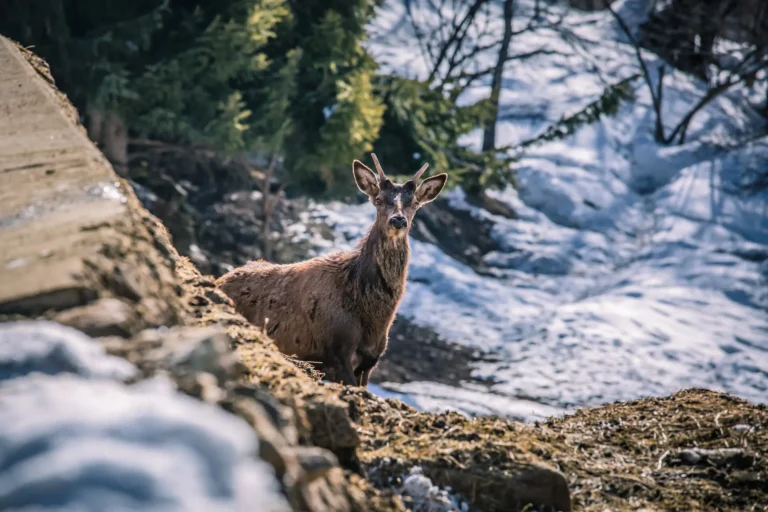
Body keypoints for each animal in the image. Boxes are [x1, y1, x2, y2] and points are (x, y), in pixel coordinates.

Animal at [216, 154, 447, 387]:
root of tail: (220, 279)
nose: (398, 220)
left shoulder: (369, 363)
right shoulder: (336, 352)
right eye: (379, 200)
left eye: (415, 203)